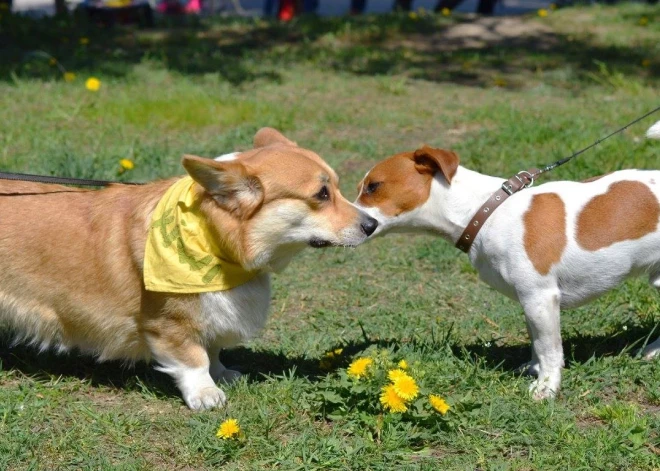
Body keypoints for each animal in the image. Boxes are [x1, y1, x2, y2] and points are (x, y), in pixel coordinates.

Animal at [0, 128, 376, 410]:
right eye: (321, 194)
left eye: (337, 187)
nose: (372, 225)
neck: (214, 241)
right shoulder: (169, 324)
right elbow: (194, 359)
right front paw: (206, 394)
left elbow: (213, 350)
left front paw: (223, 373)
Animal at [356, 122, 660, 402]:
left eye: (374, 186)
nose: (358, 220)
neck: (484, 211)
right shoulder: (530, 301)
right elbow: (536, 342)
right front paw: (534, 368)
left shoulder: (540, 297)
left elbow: (549, 348)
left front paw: (546, 386)